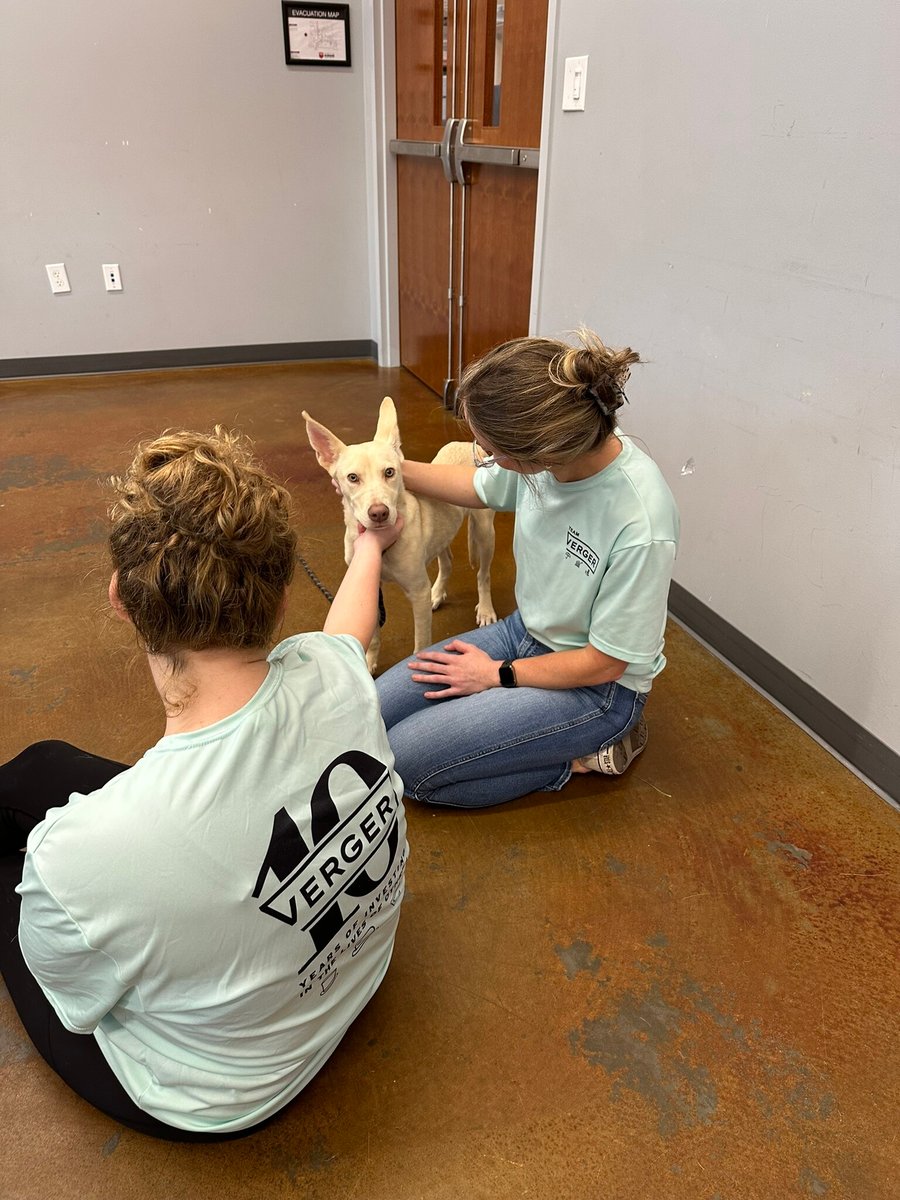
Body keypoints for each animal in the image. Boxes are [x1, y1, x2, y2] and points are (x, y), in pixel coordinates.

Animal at [304, 396, 501, 672]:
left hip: (484, 532)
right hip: (442, 531)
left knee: (483, 574)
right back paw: (437, 593)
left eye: (389, 472)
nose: (379, 513)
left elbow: (421, 642)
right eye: (352, 478)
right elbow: (374, 637)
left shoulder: (417, 592)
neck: (383, 546)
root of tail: (466, 445)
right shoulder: (371, 588)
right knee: (447, 562)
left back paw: (485, 609)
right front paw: (369, 663)